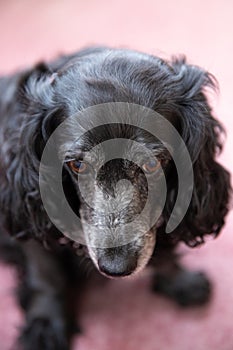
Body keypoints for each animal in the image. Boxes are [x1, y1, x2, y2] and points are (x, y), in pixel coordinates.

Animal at [0, 47, 231, 350]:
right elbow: (46, 272)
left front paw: (180, 281)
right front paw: (46, 324)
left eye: (153, 163)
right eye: (77, 165)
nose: (115, 268)